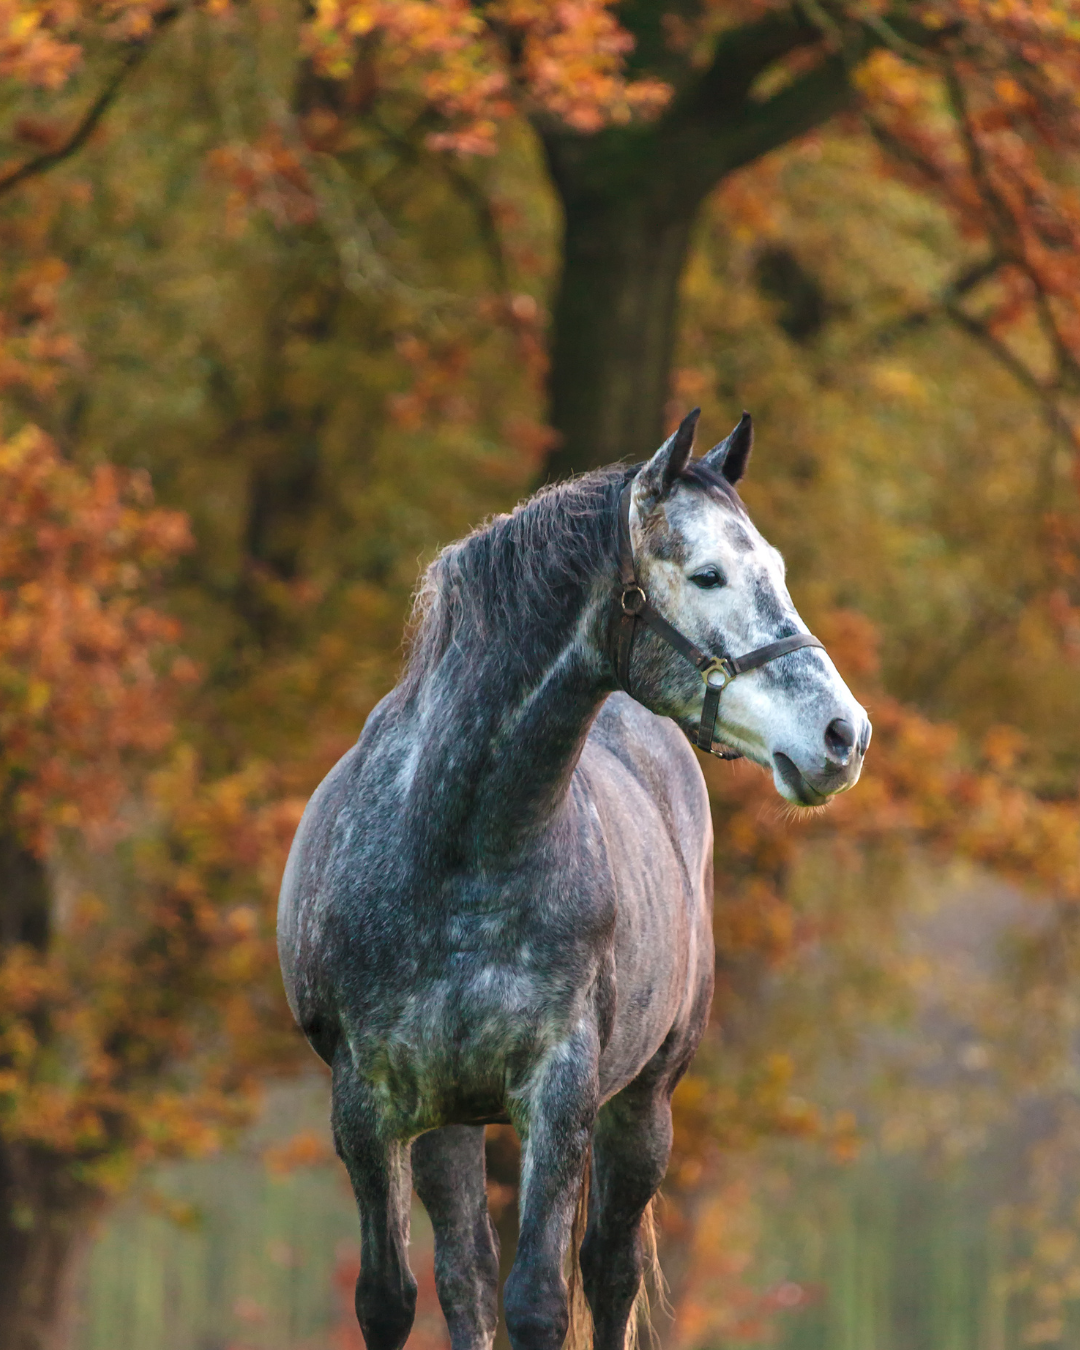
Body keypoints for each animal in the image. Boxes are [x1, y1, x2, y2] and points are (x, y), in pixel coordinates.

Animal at [277, 409, 870, 1350]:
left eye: (774, 569)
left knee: (610, 1270)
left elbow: (542, 1302)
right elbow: (391, 1299)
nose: (843, 737)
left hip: (643, 1108)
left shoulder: (559, 1097)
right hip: (448, 1125)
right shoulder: (368, 1110)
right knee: (465, 1274)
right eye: (707, 574)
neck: (456, 854)